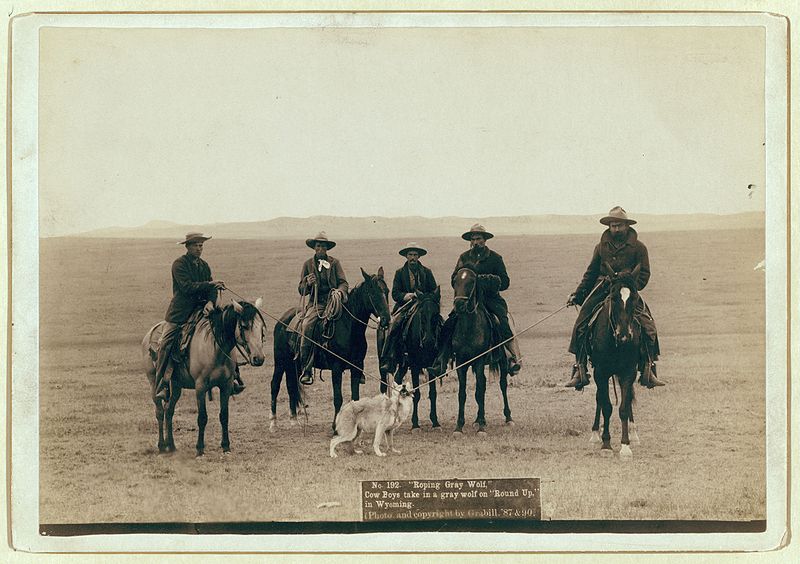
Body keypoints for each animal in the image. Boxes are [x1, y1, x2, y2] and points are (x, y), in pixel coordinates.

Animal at [142, 298, 268, 456]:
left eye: (261, 328)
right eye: (244, 326)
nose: (259, 358)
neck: (216, 348)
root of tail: (149, 334)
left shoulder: (226, 386)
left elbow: (224, 415)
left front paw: (226, 446)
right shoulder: (200, 386)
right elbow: (202, 417)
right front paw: (200, 448)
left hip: (176, 385)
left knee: (169, 410)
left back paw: (171, 446)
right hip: (154, 382)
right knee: (159, 411)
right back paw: (161, 446)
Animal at [272, 268, 390, 432]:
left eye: (387, 291)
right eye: (373, 293)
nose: (386, 320)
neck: (349, 328)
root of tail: (282, 320)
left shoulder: (357, 366)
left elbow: (355, 397)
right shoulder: (336, 368)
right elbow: (338, 398)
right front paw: (335, 426)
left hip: (292, 364)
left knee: (291, 386)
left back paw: (294, 420)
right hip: (280, 362)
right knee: (275, 385)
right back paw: (273, 423)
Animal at [376, 288, 440, 430]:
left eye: (436, 314)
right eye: (422, 314)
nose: (429, 341)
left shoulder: (431, 367)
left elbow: (433, 394)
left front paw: (435, 422)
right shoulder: (415, 366)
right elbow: (417, 395)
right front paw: (415, 424)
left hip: (403, 365)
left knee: (397, 381)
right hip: (383, 364)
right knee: (384, 385)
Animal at [450, 266, 512, 434]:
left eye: (472, 281)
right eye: (455, 281)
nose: (459, 305)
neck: (468, 328)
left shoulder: (478, 360)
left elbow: (479, 390)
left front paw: (482, 426)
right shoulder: (461, 362)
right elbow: (463, 393)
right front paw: (459, 426)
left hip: (502, 362)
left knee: (502, 385)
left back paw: (508, 418)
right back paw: (477, 420)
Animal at [588, 268, 644, 458]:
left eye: (635, 298)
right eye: (613, 297)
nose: (624, 335)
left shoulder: (628, 372)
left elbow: (624, 408)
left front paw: (625, 446)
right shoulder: (600, 373)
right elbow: (605, 405)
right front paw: (606, 444)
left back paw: (634, 433)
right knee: (599, 398)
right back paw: (595, 434)